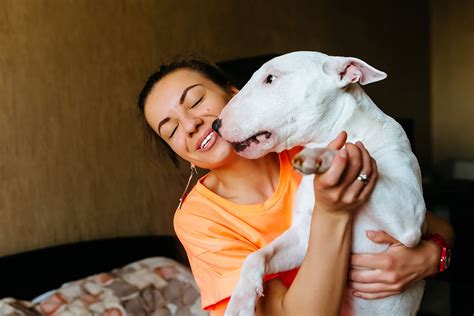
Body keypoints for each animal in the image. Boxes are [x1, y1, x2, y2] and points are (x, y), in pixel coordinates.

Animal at [215, 50, 426, 314]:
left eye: (270, 78)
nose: (216, 125)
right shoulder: (304, 237)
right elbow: (256, 256)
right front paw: (240, 301)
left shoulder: (410, 219)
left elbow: (348, 155)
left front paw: (321, 156)